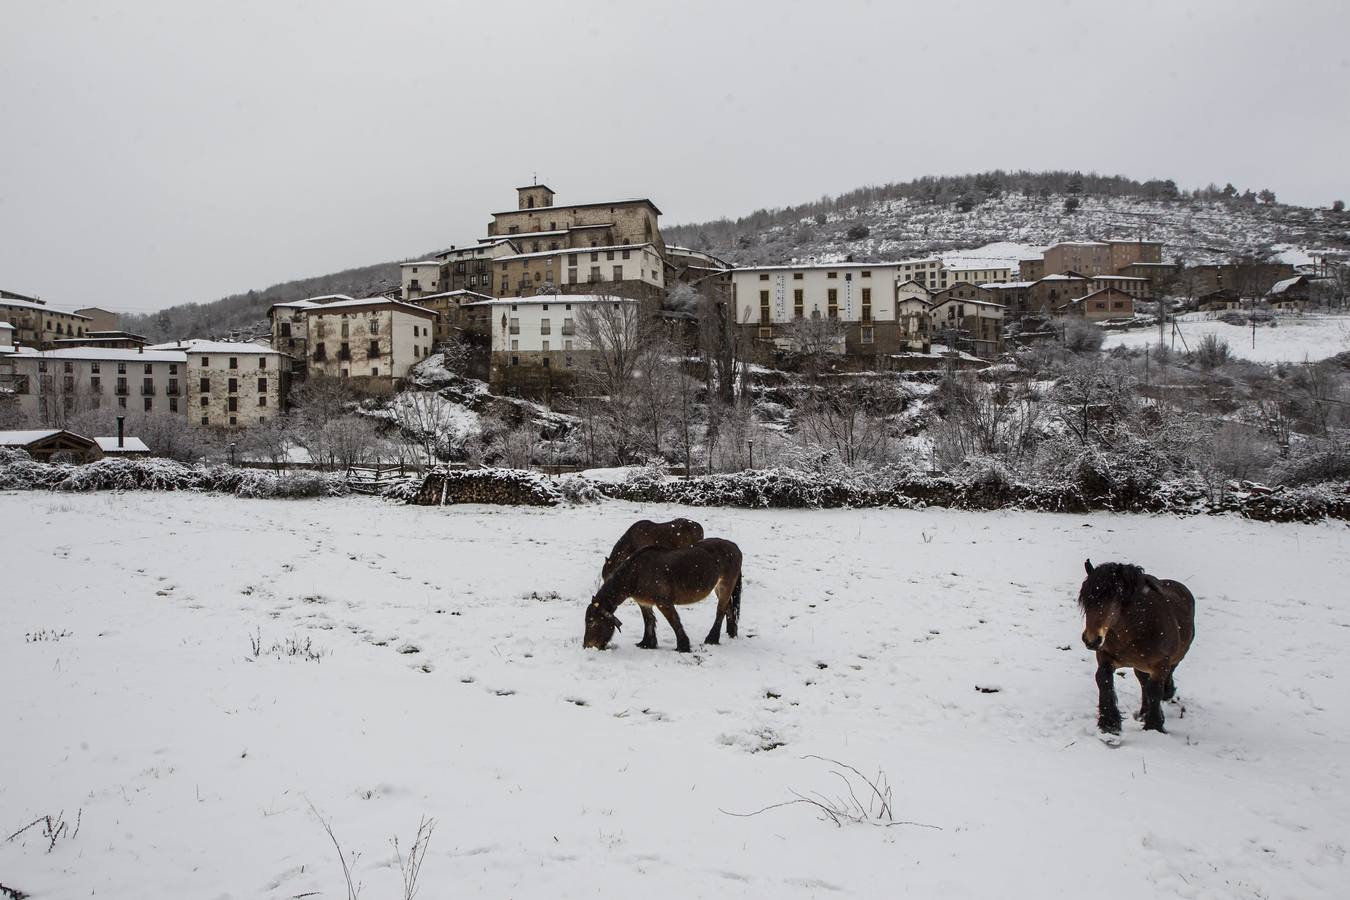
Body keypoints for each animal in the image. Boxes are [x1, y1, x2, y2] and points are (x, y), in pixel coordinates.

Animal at [585, 539, 745, 650]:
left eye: (591, 622)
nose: (587, 646)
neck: (635, 573)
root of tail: (735, 547)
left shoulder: (664, 603)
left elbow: (674, 622)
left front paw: (683, 646)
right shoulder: (644, 603)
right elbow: (648, 621)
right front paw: (647, 643)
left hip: (725, 586)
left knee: (720, 611)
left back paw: (712, 639)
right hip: (719, 589)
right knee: (728, 609)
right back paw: (731, 634)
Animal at [1080, 558, 1198, 734]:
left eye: (1113, 600)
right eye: (1086, 601)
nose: (1091, 640)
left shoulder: (1160, 664)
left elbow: (1155, 690)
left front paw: (1154, 726)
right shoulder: (1105, 655)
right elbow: (1103, 679)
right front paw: (1109, 724)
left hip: (1176, 657)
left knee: (1164, 676)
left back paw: (1166, 694)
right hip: (1140, 665)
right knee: (1143, 683)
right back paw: (1143, 713)